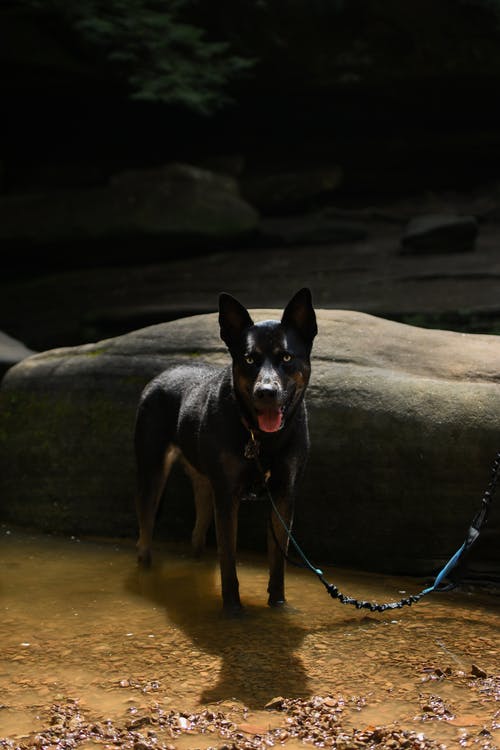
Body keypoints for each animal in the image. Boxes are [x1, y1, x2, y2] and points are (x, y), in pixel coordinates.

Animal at [134, 288, 316, 612]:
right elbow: (228, 559)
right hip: (152, 473)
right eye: (249, 358)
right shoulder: (228, 497)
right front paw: (232, 609)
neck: (259, 436)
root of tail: (160, 376)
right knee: (144, 537)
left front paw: (278, 603)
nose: (266, 392)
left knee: (197, 536)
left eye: (286, 357)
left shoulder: (283, 496)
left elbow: (277, 562)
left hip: (206, 487)